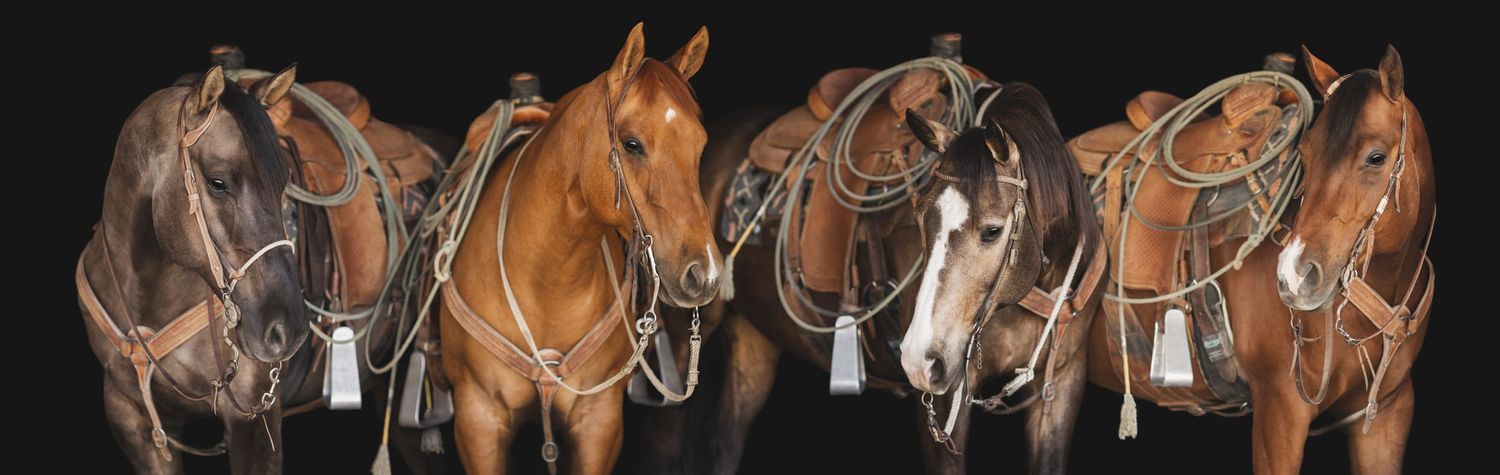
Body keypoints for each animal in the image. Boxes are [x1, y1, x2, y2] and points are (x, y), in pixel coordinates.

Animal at [437, 23, 720, 474]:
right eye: (632, 144)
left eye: (700, 144)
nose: (703, 273)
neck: (546, 282)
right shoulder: (478, 419)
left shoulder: (598, 422)